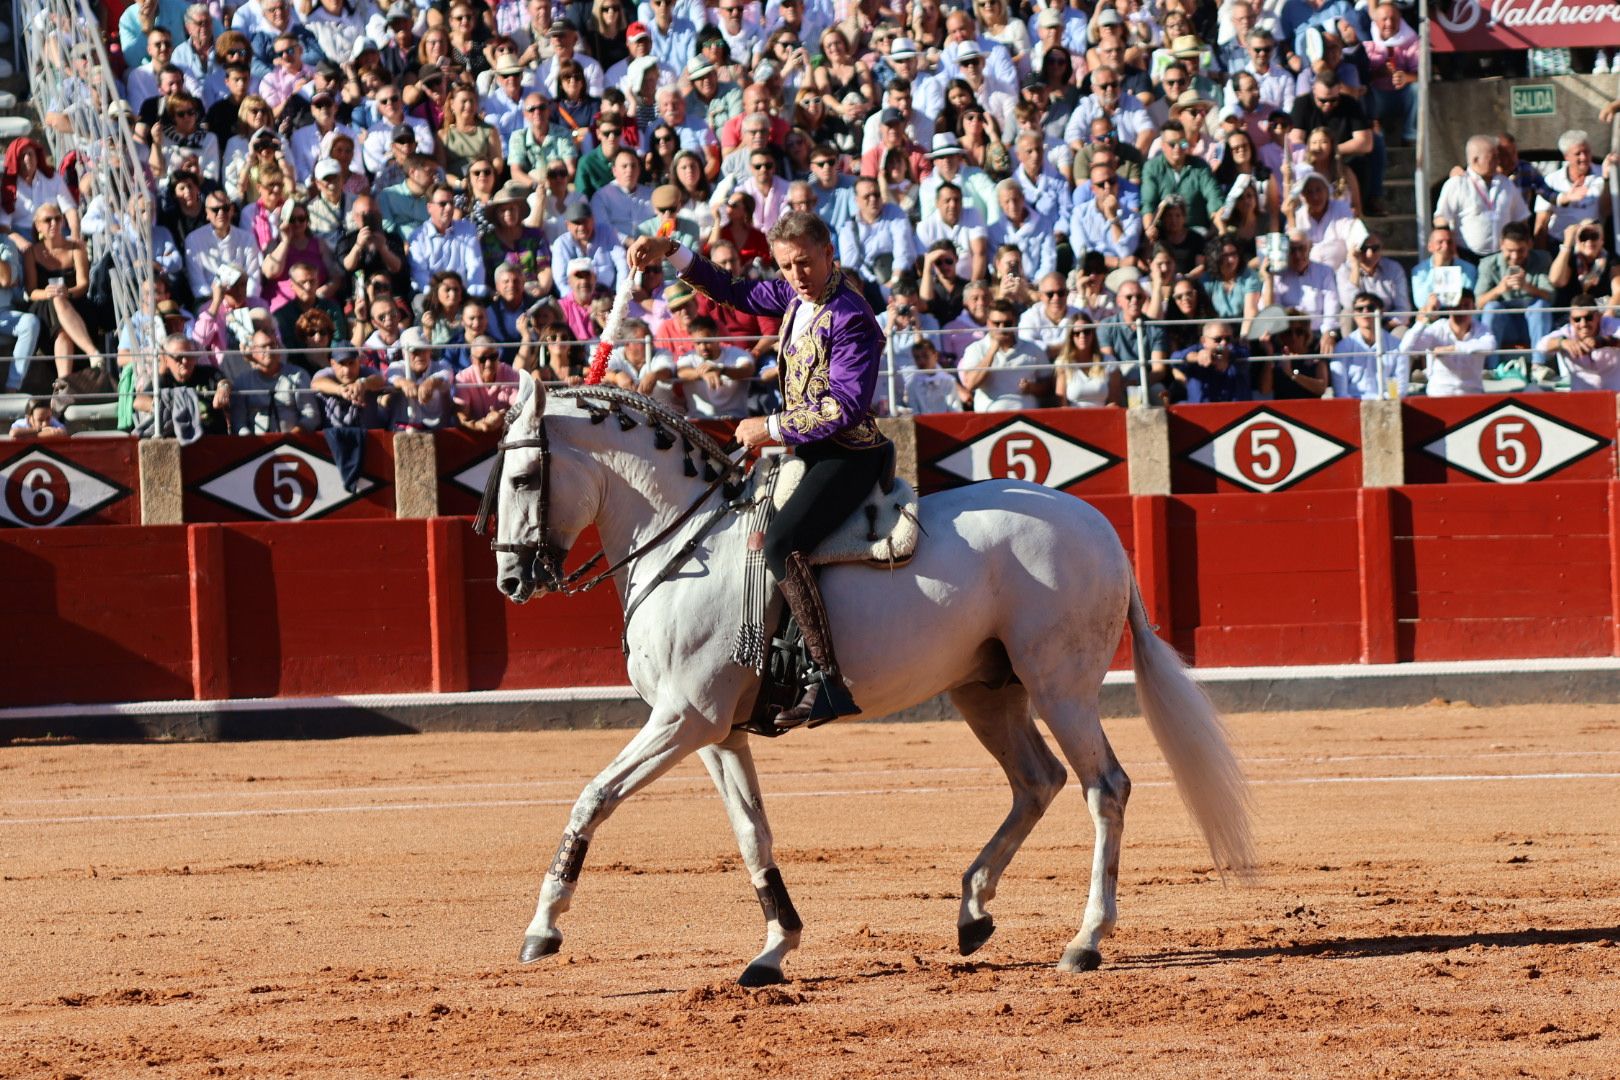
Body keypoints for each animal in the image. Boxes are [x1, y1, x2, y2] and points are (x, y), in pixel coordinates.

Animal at [486, 382, 1257, 990]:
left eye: (523, 478)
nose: (511, 582)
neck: (686, 541)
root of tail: (1102, 528)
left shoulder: (685, 719)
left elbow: (593, 796)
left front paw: (543, 927)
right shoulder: (715, 731)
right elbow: (752, 833)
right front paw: (775, 949)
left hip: (1059, 685)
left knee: (1105, 787)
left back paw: (1085, 939)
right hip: (987, 689)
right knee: (1037, 780)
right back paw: (973, 911)